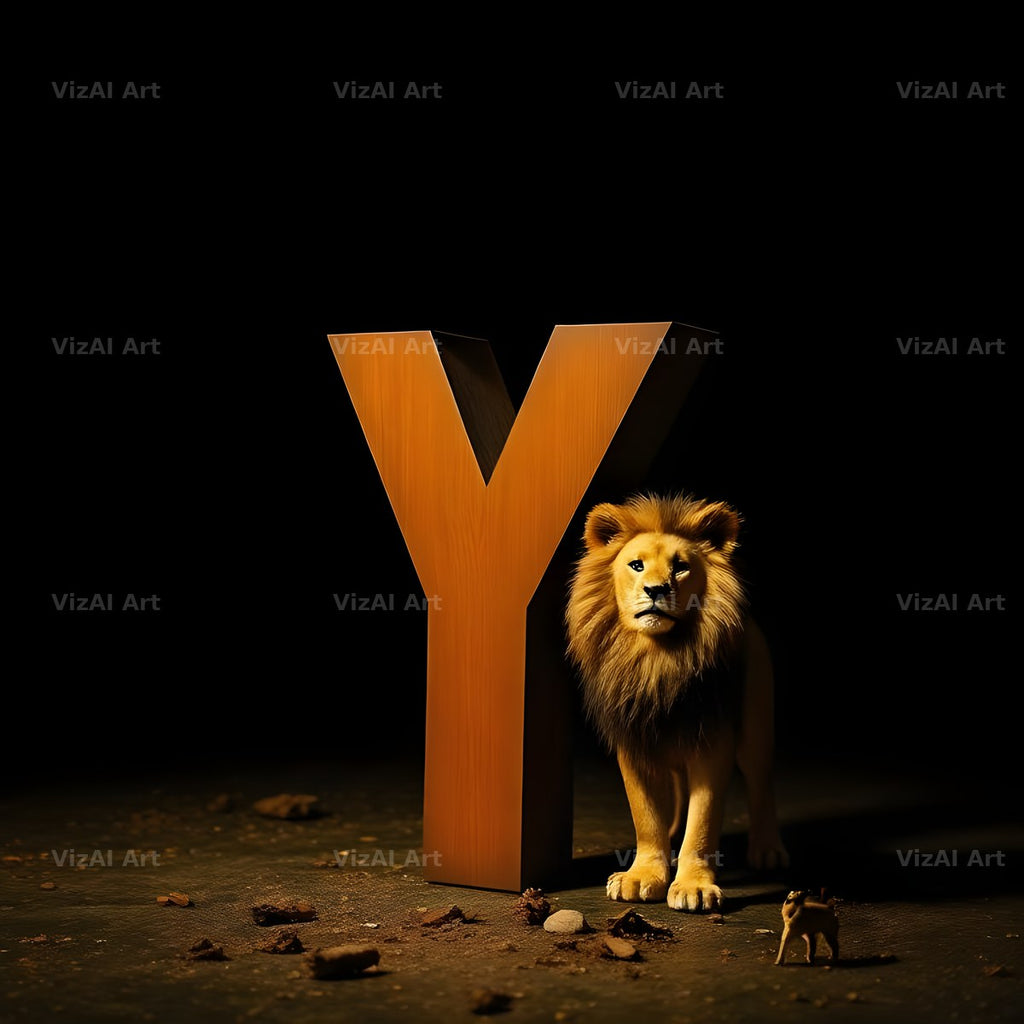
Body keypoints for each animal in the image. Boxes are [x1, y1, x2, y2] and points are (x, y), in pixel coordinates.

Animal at [566, 493, 788, 912]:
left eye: (681, 568)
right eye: (636, 565)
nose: (656, 590)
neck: (658, 659)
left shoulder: (714, 744)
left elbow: (701, 824)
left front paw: (693, 886)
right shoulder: (634, 744)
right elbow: (645, 816)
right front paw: (643, 875)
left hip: (756, 730)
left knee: (761, 783)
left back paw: (768, 850)